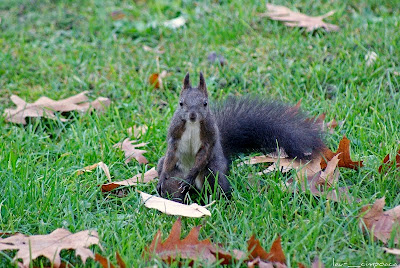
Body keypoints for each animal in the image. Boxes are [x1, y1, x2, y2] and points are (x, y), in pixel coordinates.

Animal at [156, 72, 324, 202]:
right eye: (181, 103)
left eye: (205, 103)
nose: (192, 116)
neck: (192, 125)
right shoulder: (175, 134)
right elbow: (171, 152)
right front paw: (162, 177)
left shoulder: (209, 137)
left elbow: (204, 154)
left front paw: (191, 174)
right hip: (175, 176)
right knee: (173, 186)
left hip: (212, 172)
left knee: (217, 187)